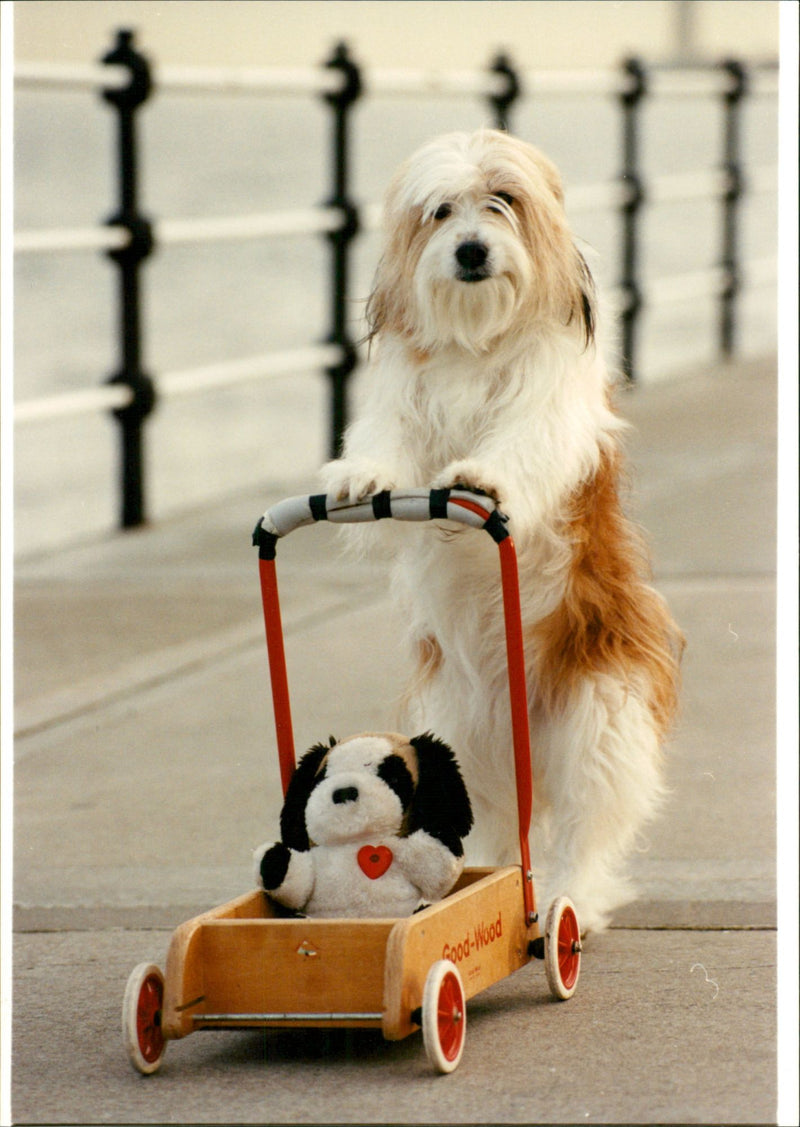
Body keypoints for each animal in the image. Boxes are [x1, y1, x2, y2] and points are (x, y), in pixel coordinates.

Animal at [320, 127, 685, 933]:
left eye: (502, 201)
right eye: (441, 211)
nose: (471, 250)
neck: (476, 338)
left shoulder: (546, 409)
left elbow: (521, 445)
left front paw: (482, 479)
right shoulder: (404, 408)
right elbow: (388, 444)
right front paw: (360, 476)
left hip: (597, 718)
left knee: (589, 823)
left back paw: (569, 899)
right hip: (459, 733)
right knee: (485, 821)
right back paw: (477, 885)